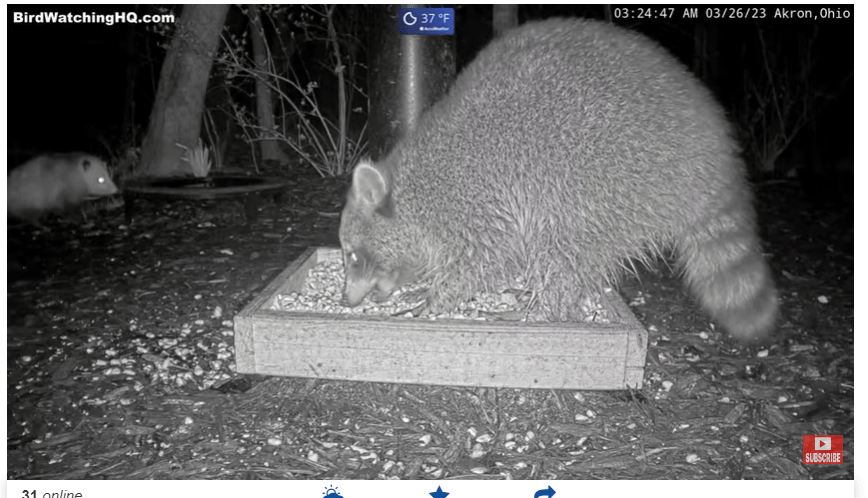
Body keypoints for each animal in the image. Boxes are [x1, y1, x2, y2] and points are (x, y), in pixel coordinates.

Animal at [339, 18, 779, 343]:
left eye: (354, 256)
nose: (346, 301)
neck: (411, 188)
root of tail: (714, 150)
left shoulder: (471, 197)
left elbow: (489, 255)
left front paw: (441, 294)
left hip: (609, 179)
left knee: (564, 246)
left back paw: (543, 308)